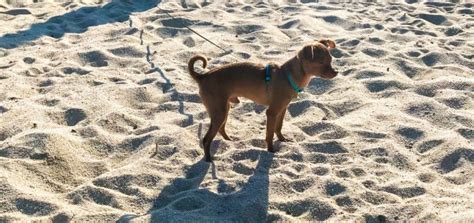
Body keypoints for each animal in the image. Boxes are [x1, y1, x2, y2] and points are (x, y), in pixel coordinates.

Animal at [188, 38, 336, 162]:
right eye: (321, 62)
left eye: (331, 60)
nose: (336, 72)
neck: (287, 75)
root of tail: (203, 76)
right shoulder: (271, 112)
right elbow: (269, 134)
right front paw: (270, 150)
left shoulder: (282, 109)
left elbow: (278, 128)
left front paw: (282, 139)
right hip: (219, 112)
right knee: (206, 139)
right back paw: (208, 159)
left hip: (224, 109)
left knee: (220, 129)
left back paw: (229, 140)